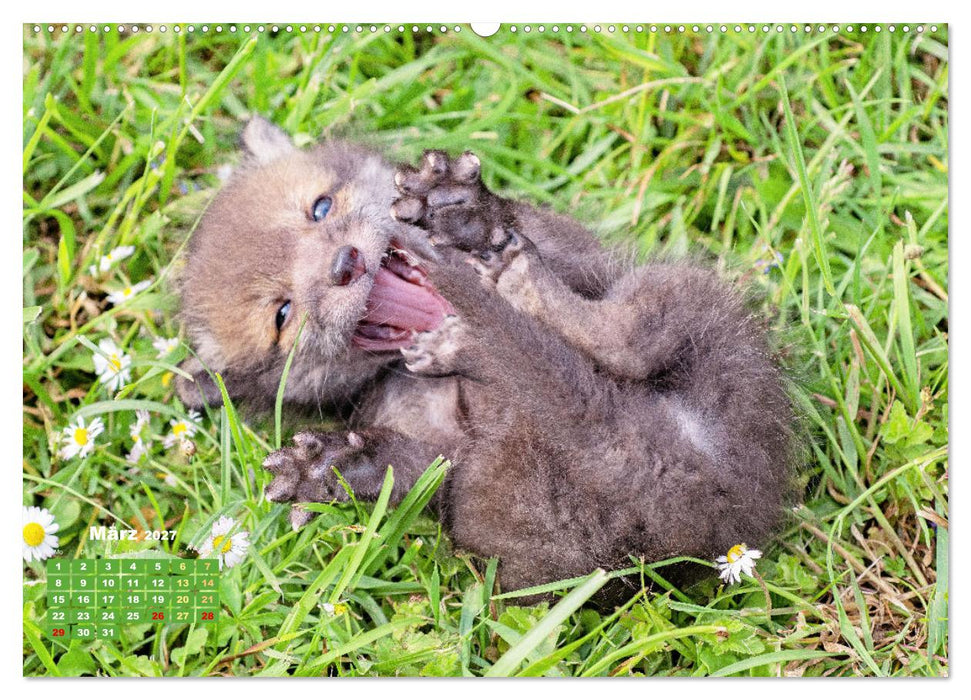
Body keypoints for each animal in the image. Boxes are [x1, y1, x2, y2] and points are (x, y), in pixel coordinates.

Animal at [176, 117, 798, 599]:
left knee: (626, 336)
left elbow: (530, 231)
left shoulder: (582, 255)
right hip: (500, 508)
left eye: (320, 207)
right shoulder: (437, 455)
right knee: (617, 346)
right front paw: (328, 469)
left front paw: (464, 210)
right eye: (282, 315)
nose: (344, 263)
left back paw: (502, 291)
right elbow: (406, 467)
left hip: (696, 301)